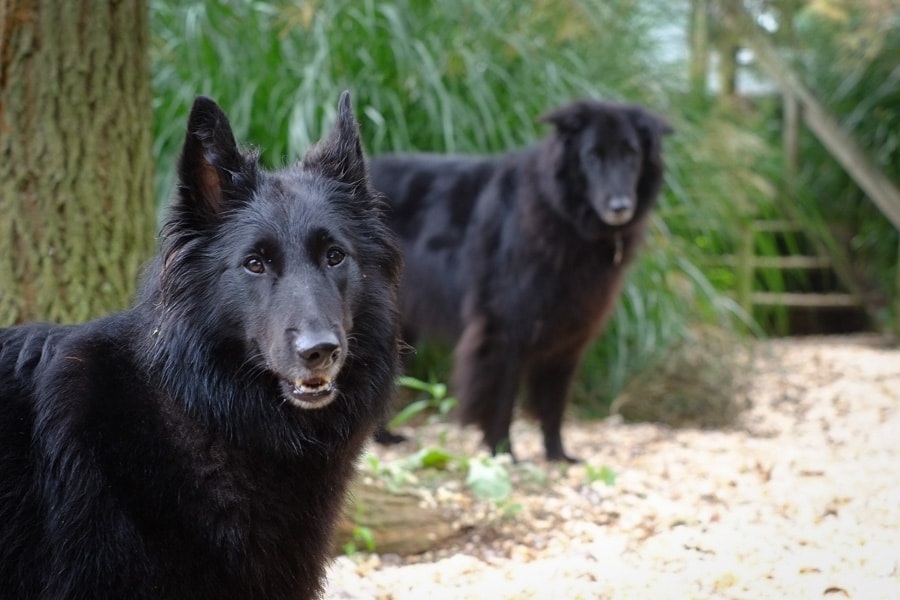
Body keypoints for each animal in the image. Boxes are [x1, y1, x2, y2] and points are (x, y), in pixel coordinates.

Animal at [370, 101, 672, 462]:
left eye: (631, 155)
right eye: (592, 156)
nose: (620, 207)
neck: (563, 217)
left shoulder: (568, 336)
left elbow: (554, 402)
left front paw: (558, 456)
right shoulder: (503, 330)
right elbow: (501, 399)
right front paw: (503, 453)